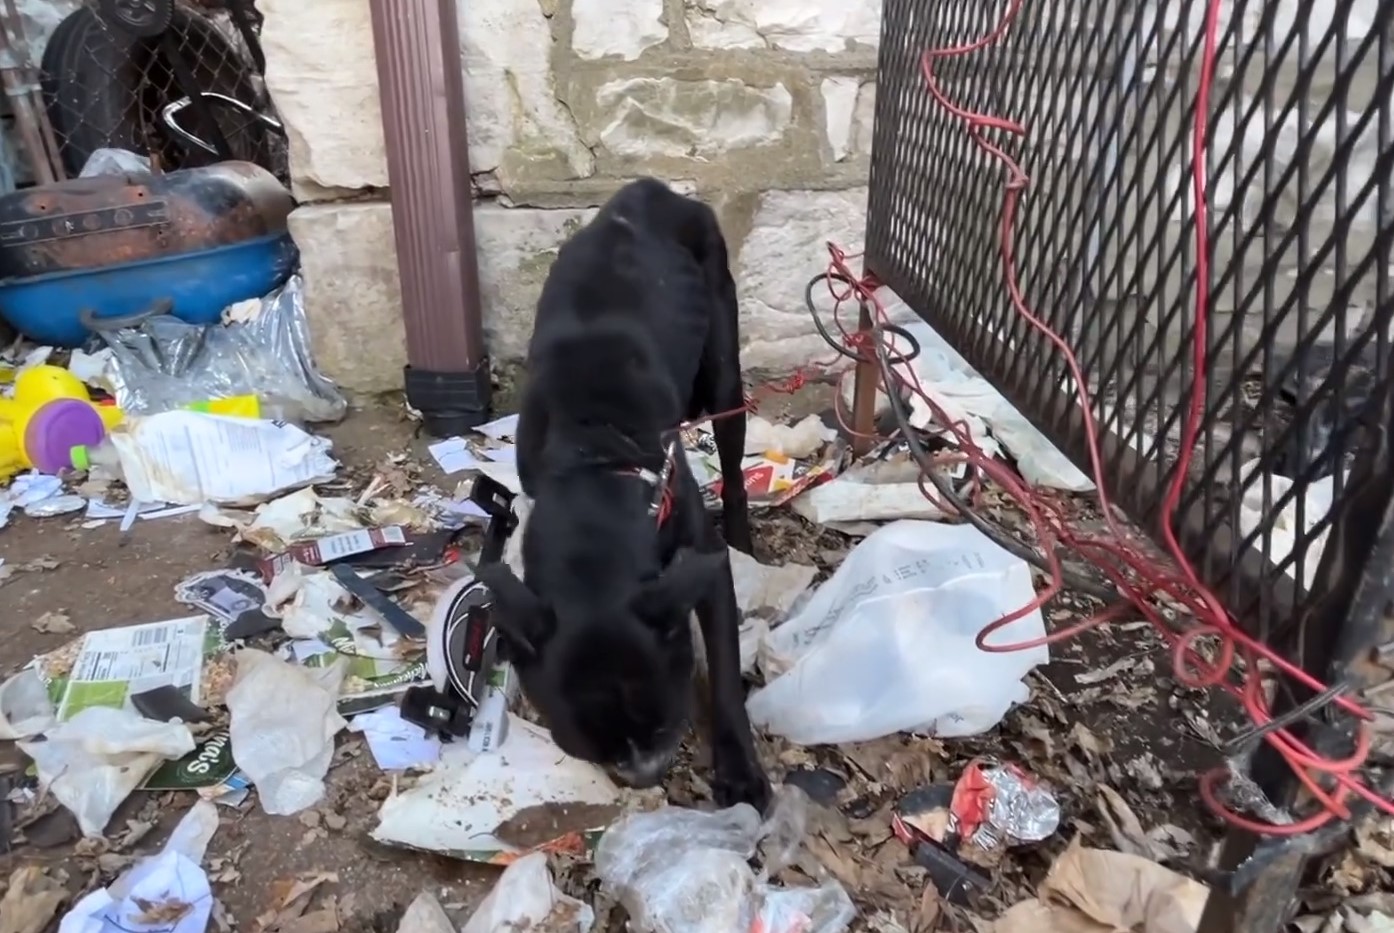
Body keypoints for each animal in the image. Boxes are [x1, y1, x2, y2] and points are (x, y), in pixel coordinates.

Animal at [473, 179, 769, 808]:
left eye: (664, 724)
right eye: (589, 749)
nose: (646, 776)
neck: (594, 469)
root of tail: (650, 190)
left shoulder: (700, 568)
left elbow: (726, 678)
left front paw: (739, 773)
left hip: (724, 373)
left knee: (733, 465)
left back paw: (744, 538)